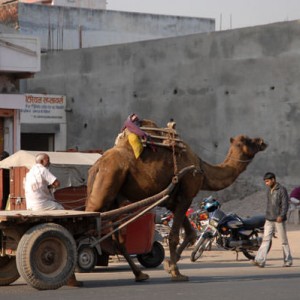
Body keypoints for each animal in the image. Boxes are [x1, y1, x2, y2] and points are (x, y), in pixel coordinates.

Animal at [85, 119, 268, 282]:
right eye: (248, 140)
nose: (262, 141)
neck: (202, 170)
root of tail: (97, 165)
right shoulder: (186, 195)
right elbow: (174, 236)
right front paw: (176, 272)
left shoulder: (173, 202)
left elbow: (191, 233)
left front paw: (168, 264)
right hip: (107, 182)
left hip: (113, 197)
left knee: (118, 240)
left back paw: (140, 274)